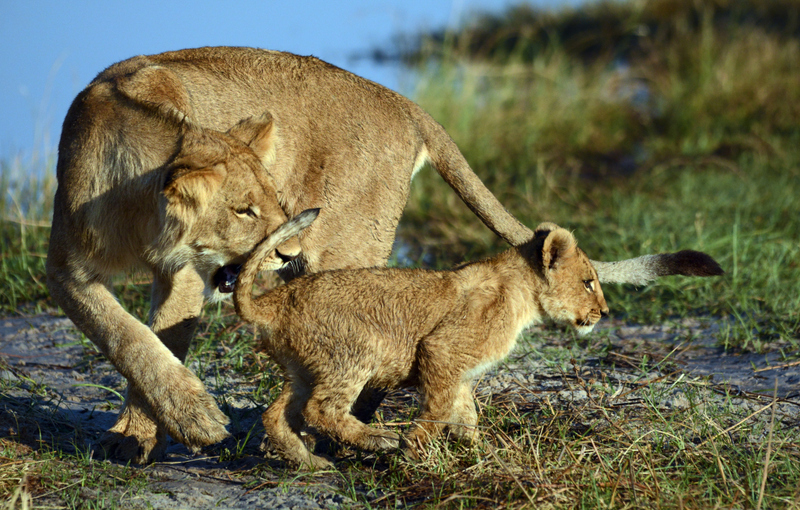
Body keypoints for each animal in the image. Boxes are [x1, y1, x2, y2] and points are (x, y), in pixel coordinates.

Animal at [233, 210, 722, 469]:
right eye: (588, 282)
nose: (604, 312)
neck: (523, 293)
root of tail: (273, 300)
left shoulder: (462, 374)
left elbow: (465, 415)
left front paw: (483, 453)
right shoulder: (441, 350)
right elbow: (435, 410)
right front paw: (414, 450)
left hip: (303, 369)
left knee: (276, 414)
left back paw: (310, 462)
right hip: (354, 353)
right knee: (322, 409)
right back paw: (378, 441)